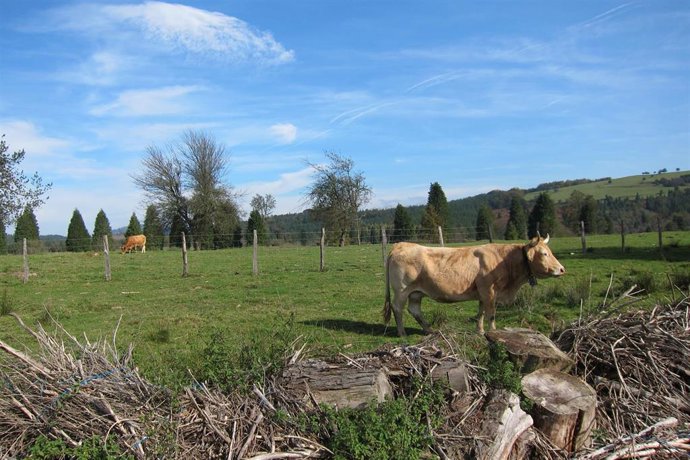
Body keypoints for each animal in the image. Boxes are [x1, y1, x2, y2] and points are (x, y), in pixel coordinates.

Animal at [383, 234, 565, 336]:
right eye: (544, 253)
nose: (562, 269)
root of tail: (401, 244)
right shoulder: (489, 290)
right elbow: (491, 313)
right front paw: (493, 331)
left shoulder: (483, 292)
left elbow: (481, 312)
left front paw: (480, 330)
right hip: (401, 290)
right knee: (397, 308)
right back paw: (402, 333)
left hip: (416, 292)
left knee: (414, 309)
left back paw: (429, 330)